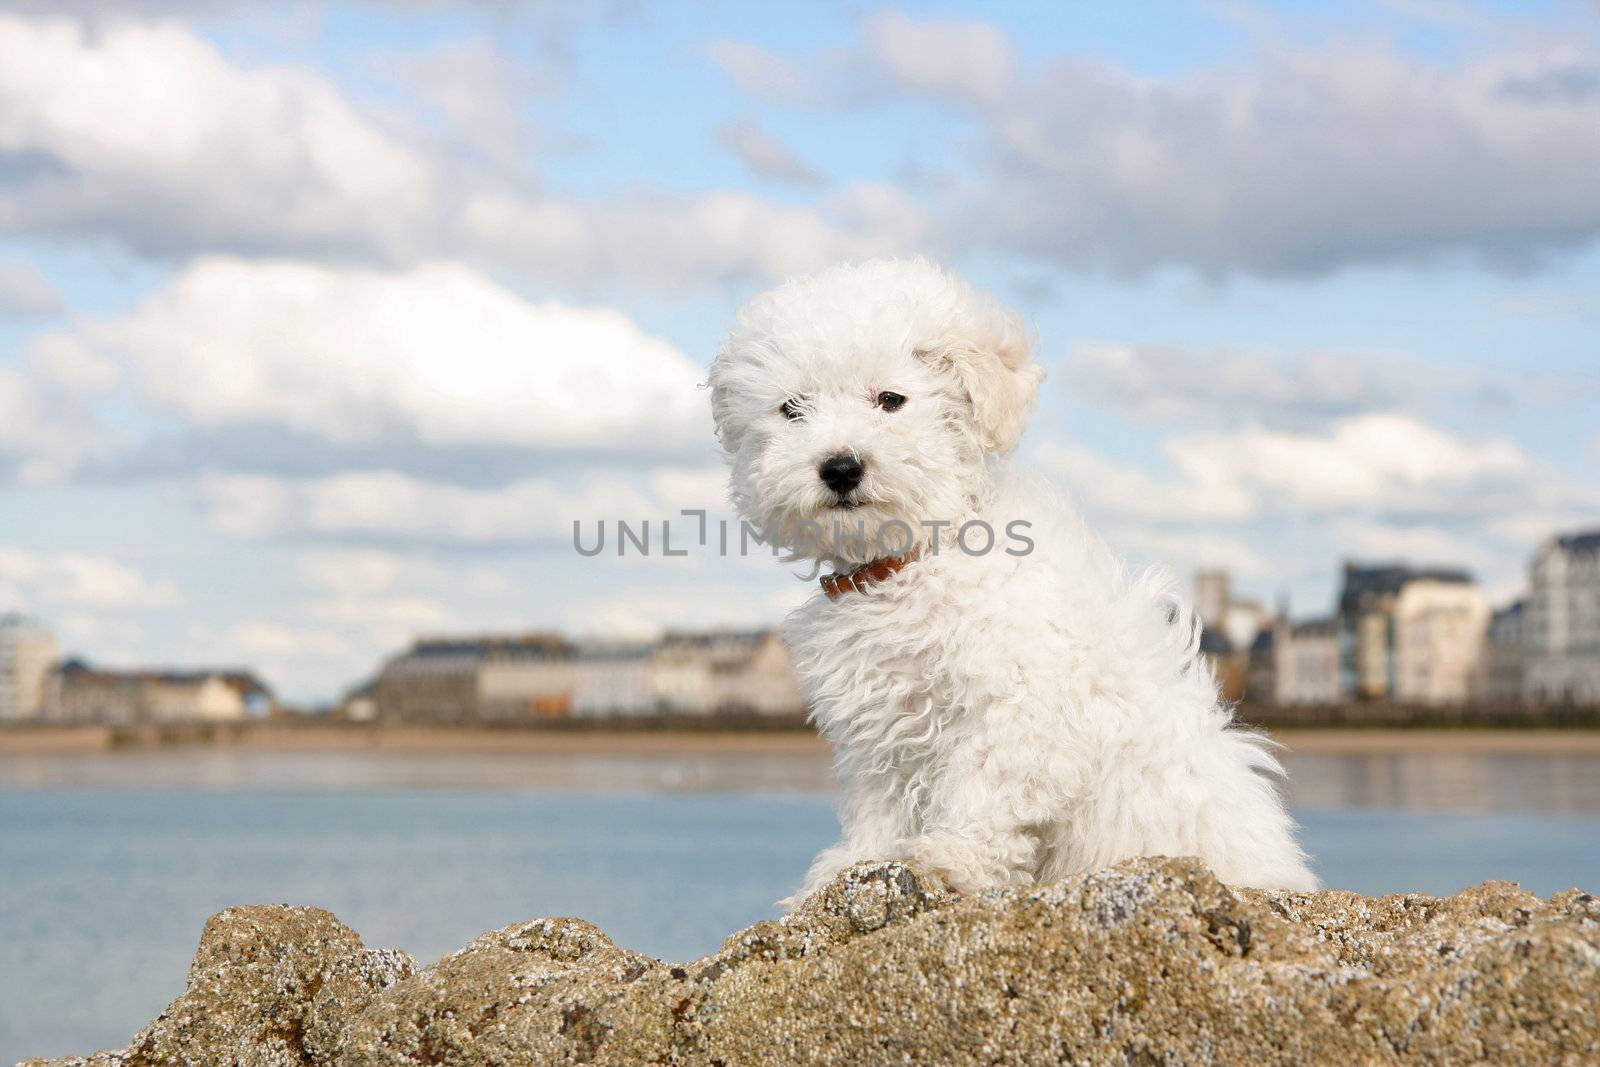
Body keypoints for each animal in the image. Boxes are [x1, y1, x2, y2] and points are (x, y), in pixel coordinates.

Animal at [710, 255, 1312, 902]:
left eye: (891, 399)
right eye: (792, 408)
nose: (840, 467)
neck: (916, 561)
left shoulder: (1020, 703)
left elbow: (983, 787)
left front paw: (951, 859)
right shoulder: (882, 723)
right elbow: (882, 804)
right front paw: (855, 865)